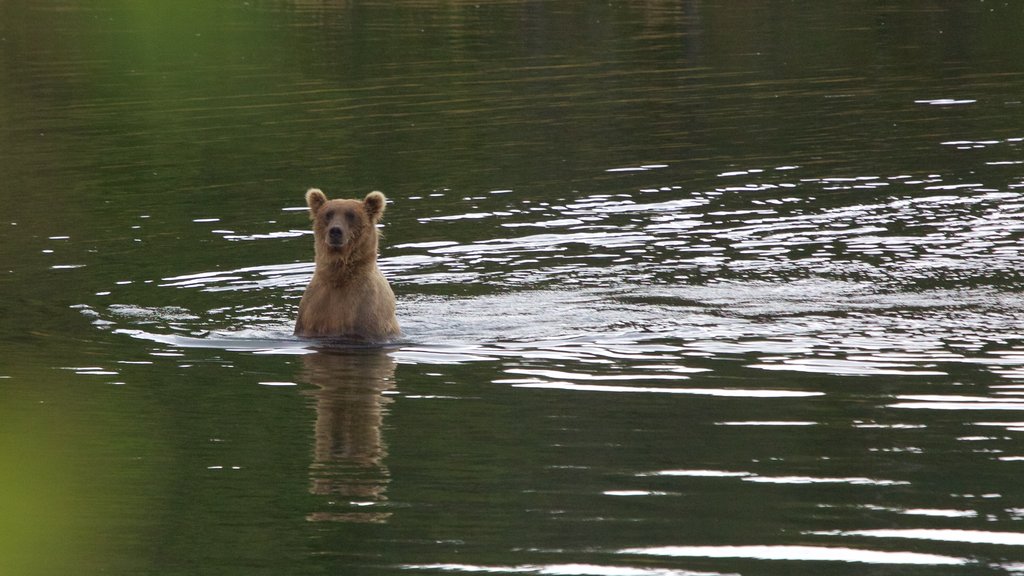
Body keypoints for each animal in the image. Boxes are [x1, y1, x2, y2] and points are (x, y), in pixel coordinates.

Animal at [294, 187, 401, 340]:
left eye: (351, 215)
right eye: (328, 214)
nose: (335, 231)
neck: (340, 275)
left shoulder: (365, 311)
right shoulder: (313, 310)